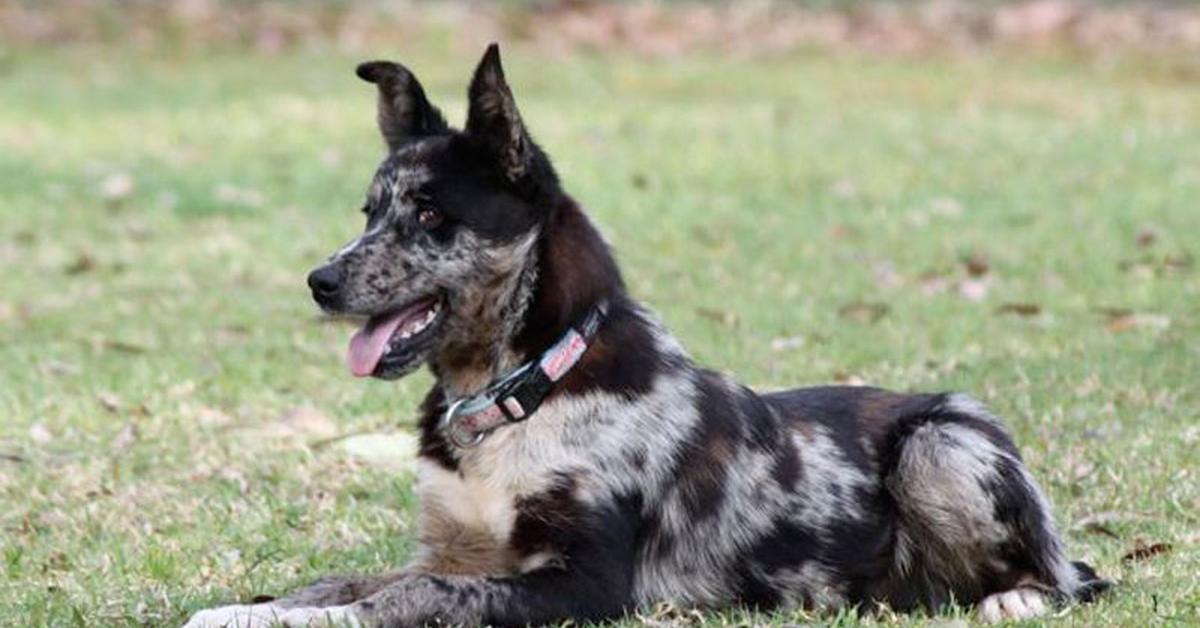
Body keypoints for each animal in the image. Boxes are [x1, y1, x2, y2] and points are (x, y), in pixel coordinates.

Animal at [182, 41, 1108, 624]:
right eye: (369, 213)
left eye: (433, 215)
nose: (320, 281)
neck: (522, 389)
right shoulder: (456, 552)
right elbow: (337, 580)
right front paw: (245, 610)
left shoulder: (586, 586)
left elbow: (405, 602)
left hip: (940, 443)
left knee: (1068, 578)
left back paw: (1018, 596)